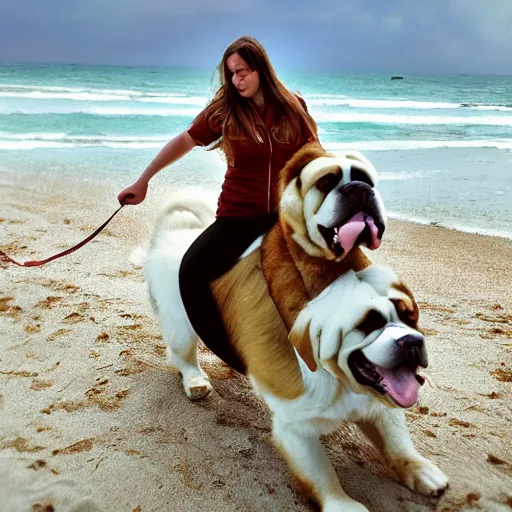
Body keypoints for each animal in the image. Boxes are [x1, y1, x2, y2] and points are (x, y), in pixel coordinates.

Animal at [143, 144, 448, 512]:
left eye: (409, 317)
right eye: (369, 324)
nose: (412, 341)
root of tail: (170, 237)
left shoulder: (378, 407)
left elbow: (397, 443)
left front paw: (421, 470)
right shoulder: (296, 429)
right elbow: (322, 476)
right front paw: (343, 504)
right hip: (180, 325)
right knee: (183, 356)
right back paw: (196, 381)